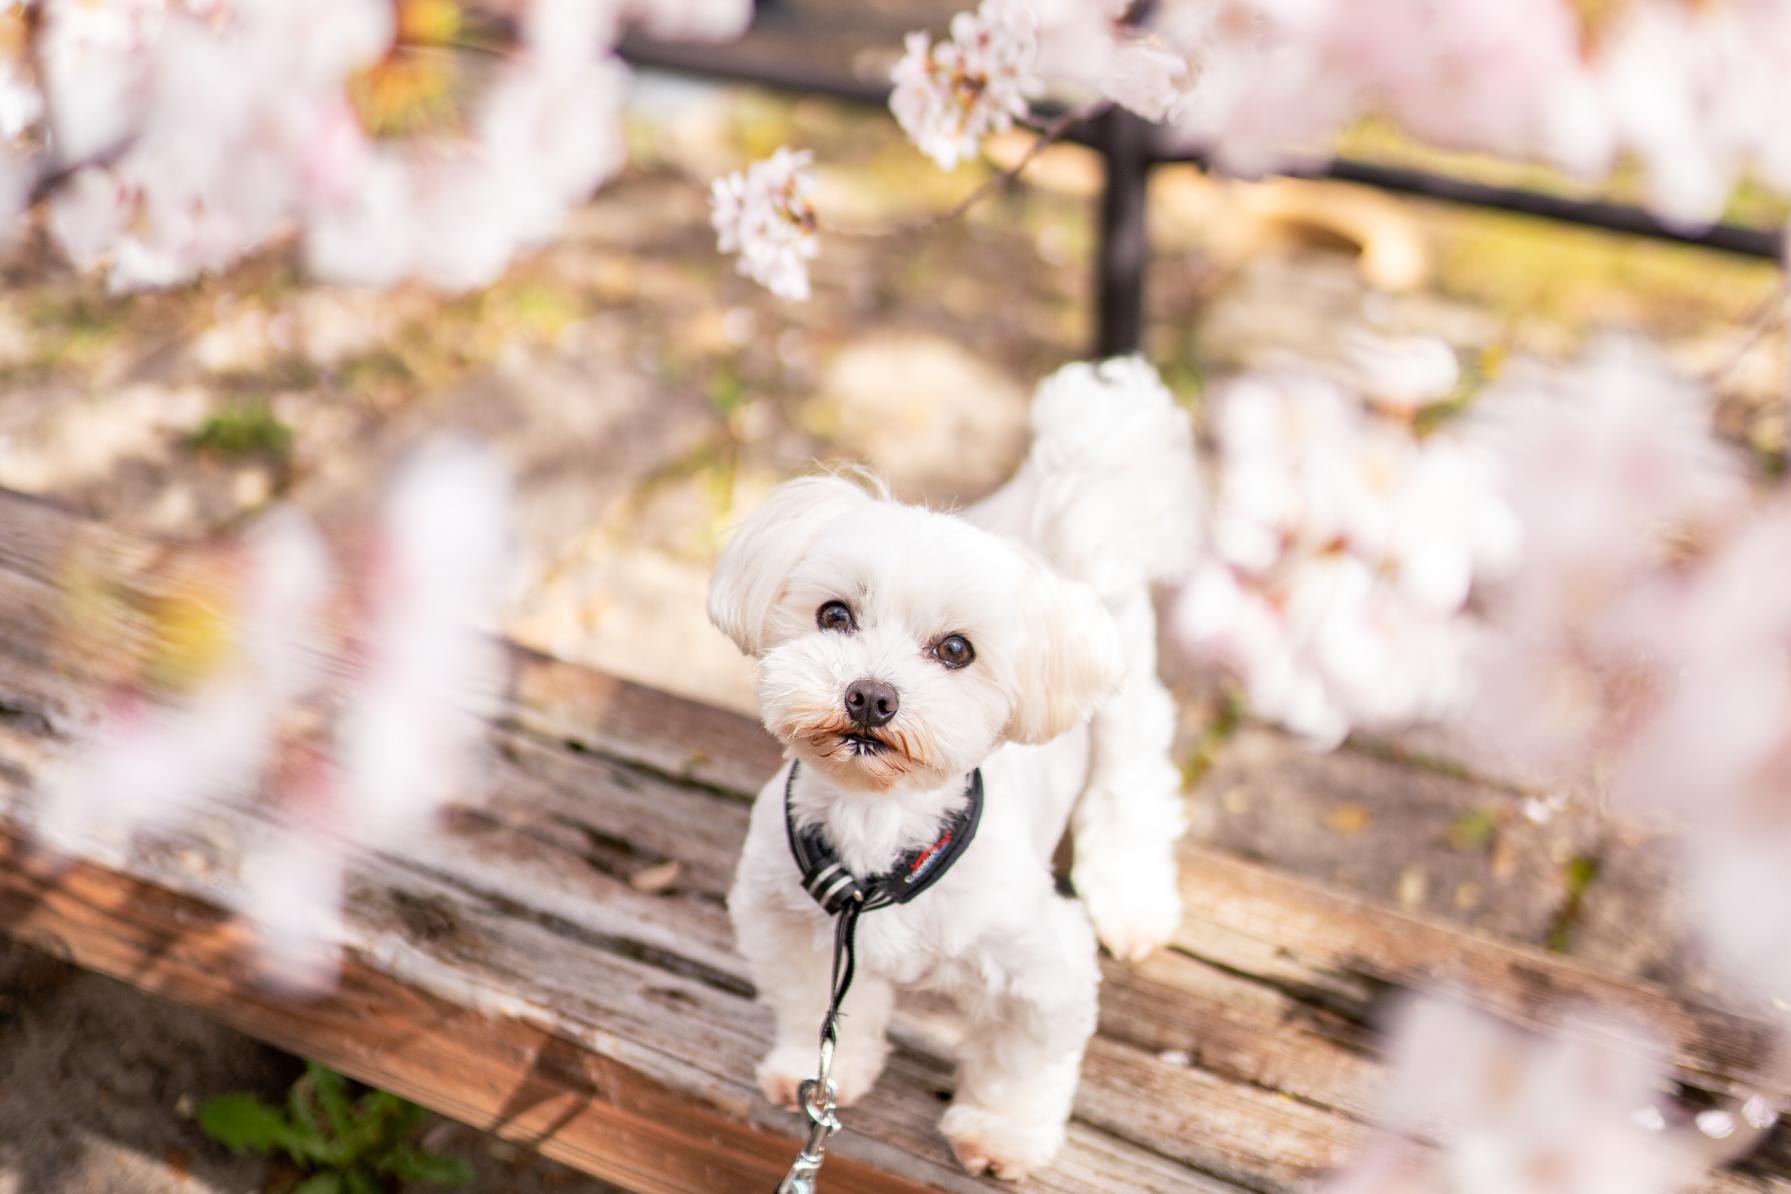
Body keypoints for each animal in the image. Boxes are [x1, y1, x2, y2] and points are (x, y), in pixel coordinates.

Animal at [705, 359, 1196, 1181]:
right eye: (834, 614)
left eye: (956, 650)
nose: (870, 695)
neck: (878, 822)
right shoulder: (791, 926)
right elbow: (817, 1012)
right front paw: (814, 1071)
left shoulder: (1045, 969)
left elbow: (1022, 1063)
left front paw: (1000, 1135)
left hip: (1125, 711)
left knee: (1132, 792)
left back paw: (1132, 903)